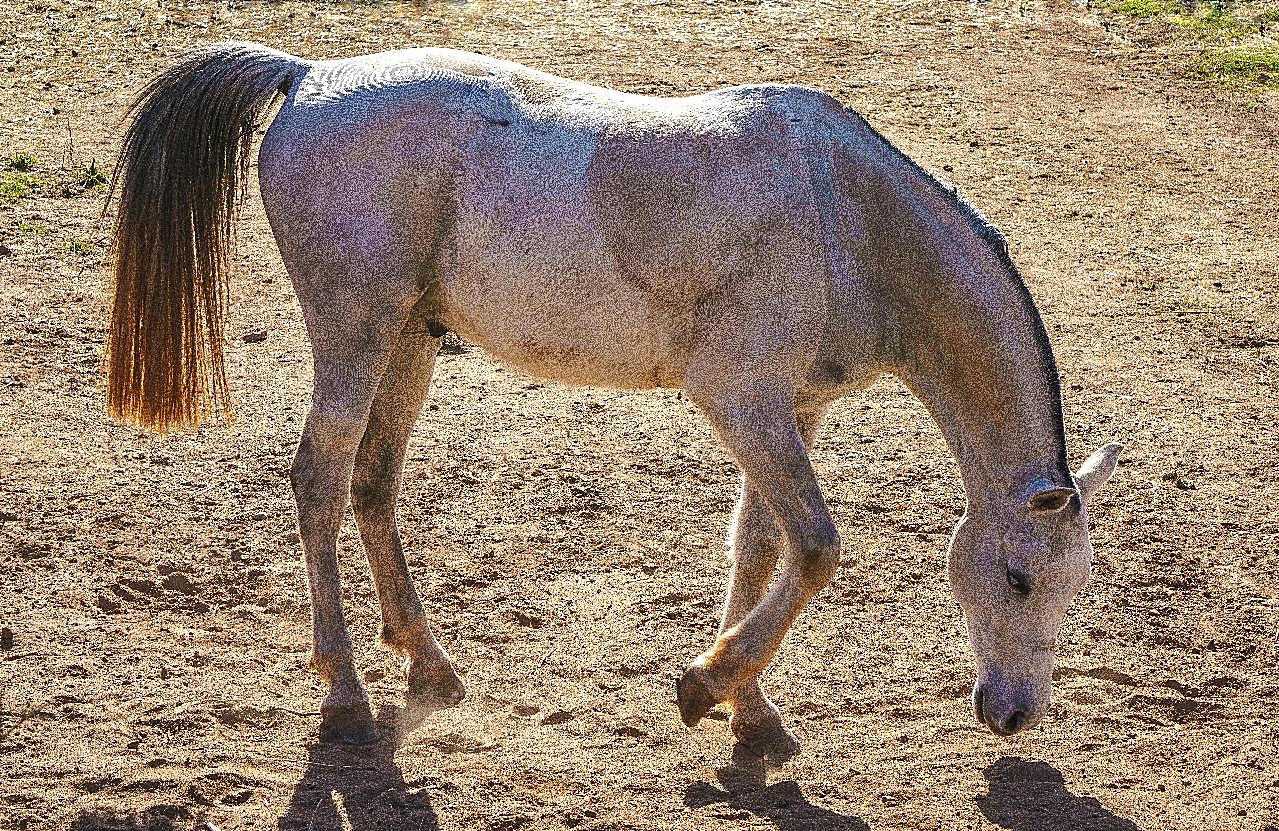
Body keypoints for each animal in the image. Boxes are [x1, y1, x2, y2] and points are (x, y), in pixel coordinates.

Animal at [107, 42, 1120, 746]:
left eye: (1075, 586)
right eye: (1019, 577)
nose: (1014, 714)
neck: (845, 219)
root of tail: (309, 76)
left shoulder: (790, 411)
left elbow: (761, 547)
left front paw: (749, 708)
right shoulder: (738, 401)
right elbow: (817, 548)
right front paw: (705, 685)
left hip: (407, 343)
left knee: (372, 485)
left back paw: (429, 663)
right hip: (353, 335)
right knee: (317, 481)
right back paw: (346, 695)